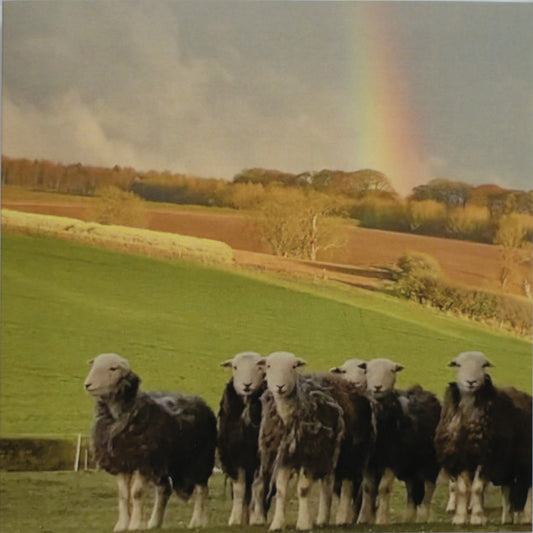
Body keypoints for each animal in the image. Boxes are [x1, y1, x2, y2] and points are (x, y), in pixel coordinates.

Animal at [83, 352, 216, 528]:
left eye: (112, 368)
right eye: (93, 365)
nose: (87, 385)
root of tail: (200, 401)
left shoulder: (143, 461)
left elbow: (136, 493)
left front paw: (135, 525)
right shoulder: (121, 461)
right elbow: (124, 495)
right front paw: (122, 525)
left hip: (199, 460)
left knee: (202, 490)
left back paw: (198, 522)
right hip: (164, 463)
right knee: (165, 489)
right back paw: (155, 522)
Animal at [215, 352, 266, 524]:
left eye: (260, 367)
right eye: (235, 367)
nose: (247, 385)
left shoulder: (260, 459)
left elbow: (259, 488)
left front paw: (258, 519)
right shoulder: (234, 458)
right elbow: (239, 490)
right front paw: (235, 519)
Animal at [256, 352, 348, 528]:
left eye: (293, 366)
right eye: (269, 366)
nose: (280, 387)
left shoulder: (311, 455)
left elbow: (303, 489)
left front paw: (304, 523)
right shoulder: (283, 457)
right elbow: (281, 491)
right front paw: (277, 524)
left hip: (340, 454)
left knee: (337, 485)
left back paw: (333, 518)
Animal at [354, 358, 440, 524]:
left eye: (392, 370)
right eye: (367, 370)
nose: (377, 387)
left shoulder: (391, 461)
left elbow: (383, 489)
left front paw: (381, 520)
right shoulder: (369, 464)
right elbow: (368, 488)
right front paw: (363, 520)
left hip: (430, 463)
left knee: (429, 489)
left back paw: (422, 518)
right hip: (410, 466)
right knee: (412, 490)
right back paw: (408, 518)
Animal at [434, 350, 528, 524]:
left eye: (484, 365)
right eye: (458, 364)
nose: (471, 382)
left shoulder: (486, 457)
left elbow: (477, 488)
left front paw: (477, 516)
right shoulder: (460, 456)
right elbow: (462, 488)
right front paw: (460, 516)